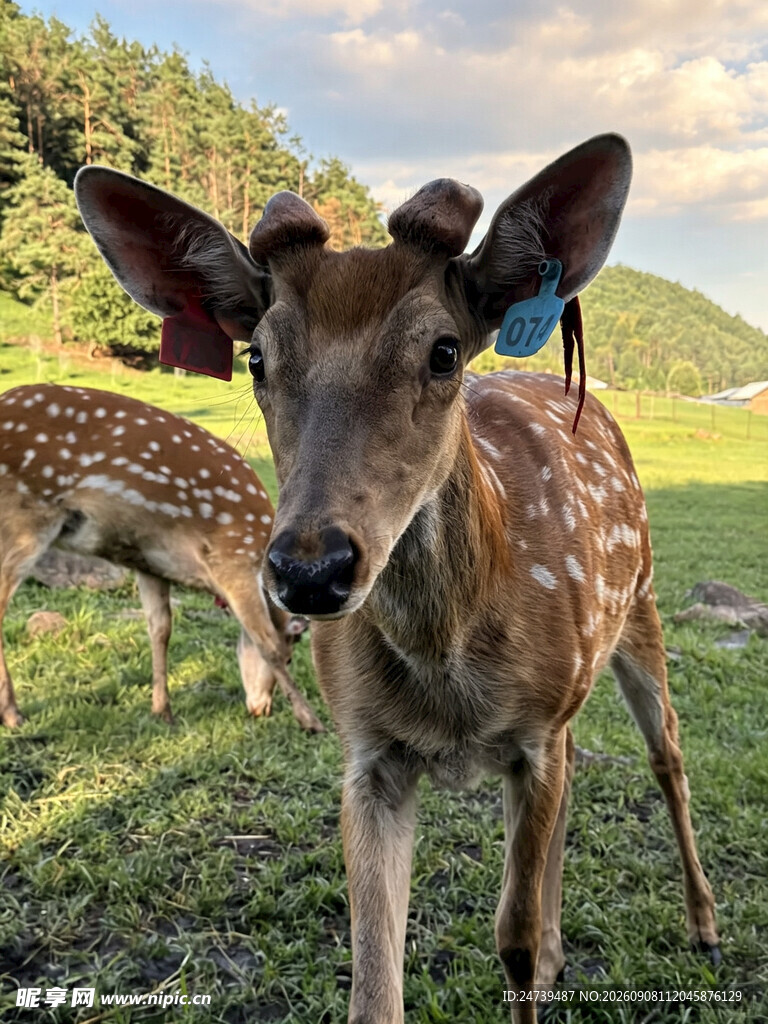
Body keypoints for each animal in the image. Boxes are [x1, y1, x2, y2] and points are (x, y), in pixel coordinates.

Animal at [0, 384, 323, 732]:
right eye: (291, 657)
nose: (261, 708)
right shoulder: (232, 558)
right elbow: (266, 642)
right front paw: (310, 719)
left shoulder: (151, 564)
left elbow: (160, 629)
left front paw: (162, 710)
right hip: (27, 518)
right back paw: (13, 713)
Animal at [74, 134, 719, 1023]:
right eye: (256, 357)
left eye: (444, 350)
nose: (310, 567)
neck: (446, 666)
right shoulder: (369, 753)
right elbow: (374, 986)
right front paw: (541, 954)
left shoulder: (531, 731)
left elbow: (512, 942)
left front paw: (539, 958)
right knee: (578, 775)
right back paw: (571, 945)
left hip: (643, 605)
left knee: (669, 759)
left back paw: (705, 925)